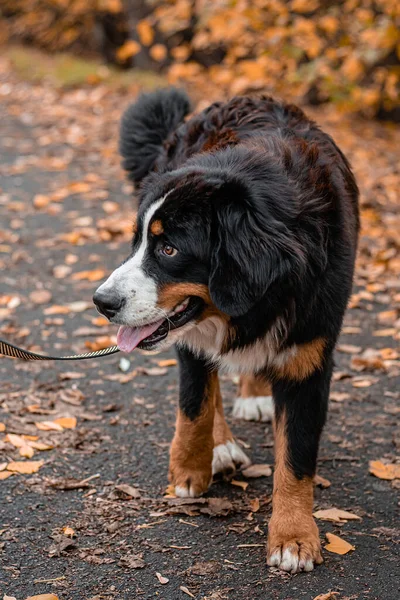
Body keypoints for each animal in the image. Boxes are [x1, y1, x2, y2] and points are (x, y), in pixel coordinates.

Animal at [93, 88, 360, 572]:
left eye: (168, 248)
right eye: (138, 241)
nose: (102, 302)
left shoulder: (310, 356)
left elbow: (296, 457)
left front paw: (293, 536)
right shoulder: (189, 341)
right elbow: (195, 405)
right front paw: (190, 470)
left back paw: (254, 395)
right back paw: (220, 446)